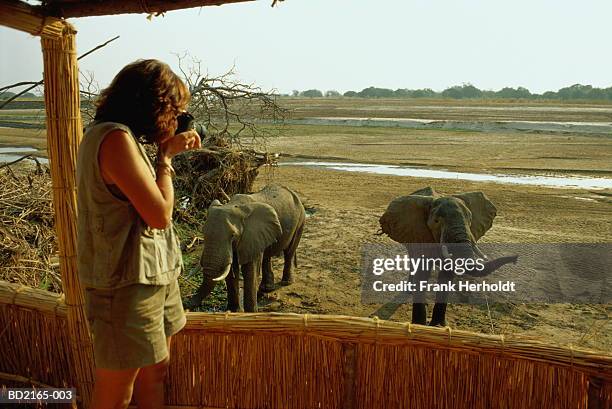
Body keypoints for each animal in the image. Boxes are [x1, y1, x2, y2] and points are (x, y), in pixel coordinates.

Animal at [378, 187, 516, 326]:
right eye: (436, 221)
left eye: (470, 220)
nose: (515, 258)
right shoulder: (420, 234)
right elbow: (422, 271)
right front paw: (419, 325)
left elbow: (447, 274)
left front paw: (438, 325)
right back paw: (409, 291)